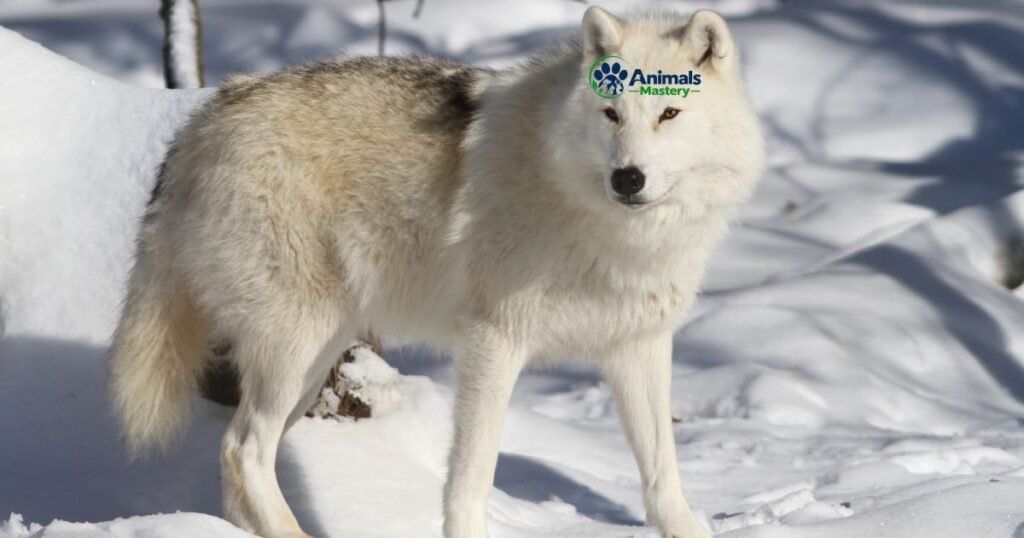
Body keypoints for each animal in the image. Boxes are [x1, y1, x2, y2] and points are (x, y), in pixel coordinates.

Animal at [109, 6, 763, 538]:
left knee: (239, 455)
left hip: (316, 359)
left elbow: (662, 473)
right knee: (242, 448)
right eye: (611, 114)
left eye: (670, 113)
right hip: (296, 347)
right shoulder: (492, 343)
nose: (627, 178)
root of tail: (208, 113)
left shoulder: (638, 345)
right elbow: (471, 477)